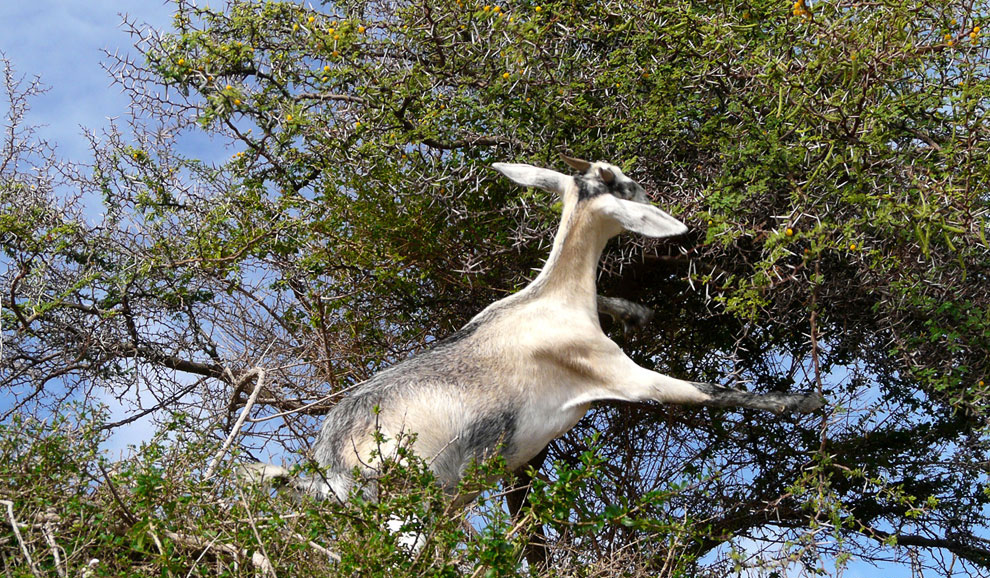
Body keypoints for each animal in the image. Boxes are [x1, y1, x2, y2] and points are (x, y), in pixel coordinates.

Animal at [246, 154, 820, 520]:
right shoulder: (621, 374)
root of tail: (328, 468)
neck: (551, 302)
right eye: (626, 186)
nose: (676, 223)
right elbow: (712, 392)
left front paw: (637, 310)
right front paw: (806, 401)